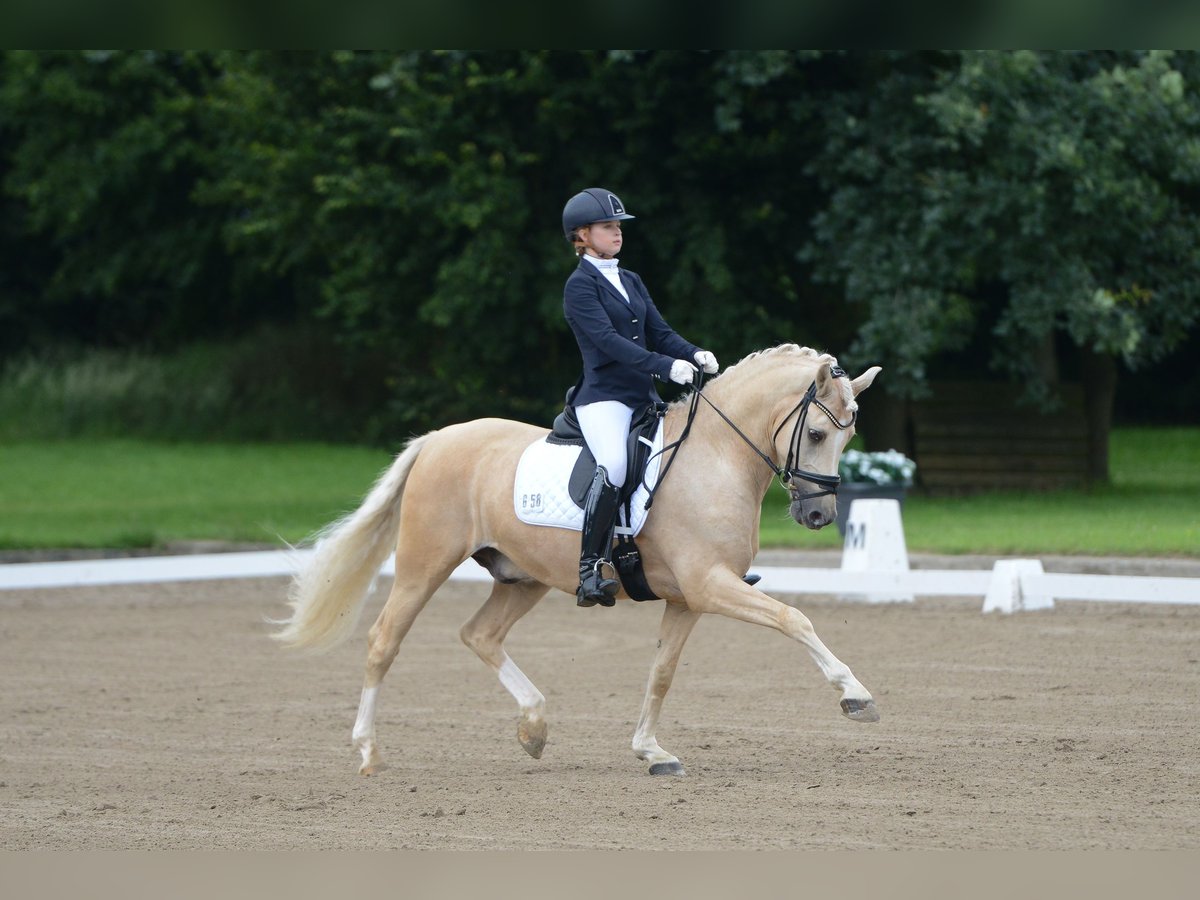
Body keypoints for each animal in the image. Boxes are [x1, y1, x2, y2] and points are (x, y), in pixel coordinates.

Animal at [276, 345, 888, 777]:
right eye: (815, 433)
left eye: (850, 434)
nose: (819, 515)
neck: (717, 457)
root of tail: (436, 439)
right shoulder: (710, 585)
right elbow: (794, 618)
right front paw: (855, 695)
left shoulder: (688, 598)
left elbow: (662, 673)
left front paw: (651, 751)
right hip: (424, 565)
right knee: (385, 641)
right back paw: (368, 752)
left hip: (521, 577)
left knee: (480, 634)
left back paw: (534, 728)